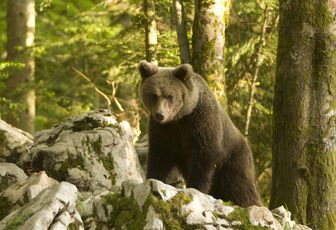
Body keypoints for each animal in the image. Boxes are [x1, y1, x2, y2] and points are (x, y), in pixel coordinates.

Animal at [138, 60, 262, 207]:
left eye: (169, 96)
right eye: (154, 95)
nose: (160, 114)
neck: (180, 117)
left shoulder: (201, 121)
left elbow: (203, 157)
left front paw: (196, 188)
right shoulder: (165, 129)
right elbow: (161, 154)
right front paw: (153, 178)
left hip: (233, 158)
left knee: (240, 185)